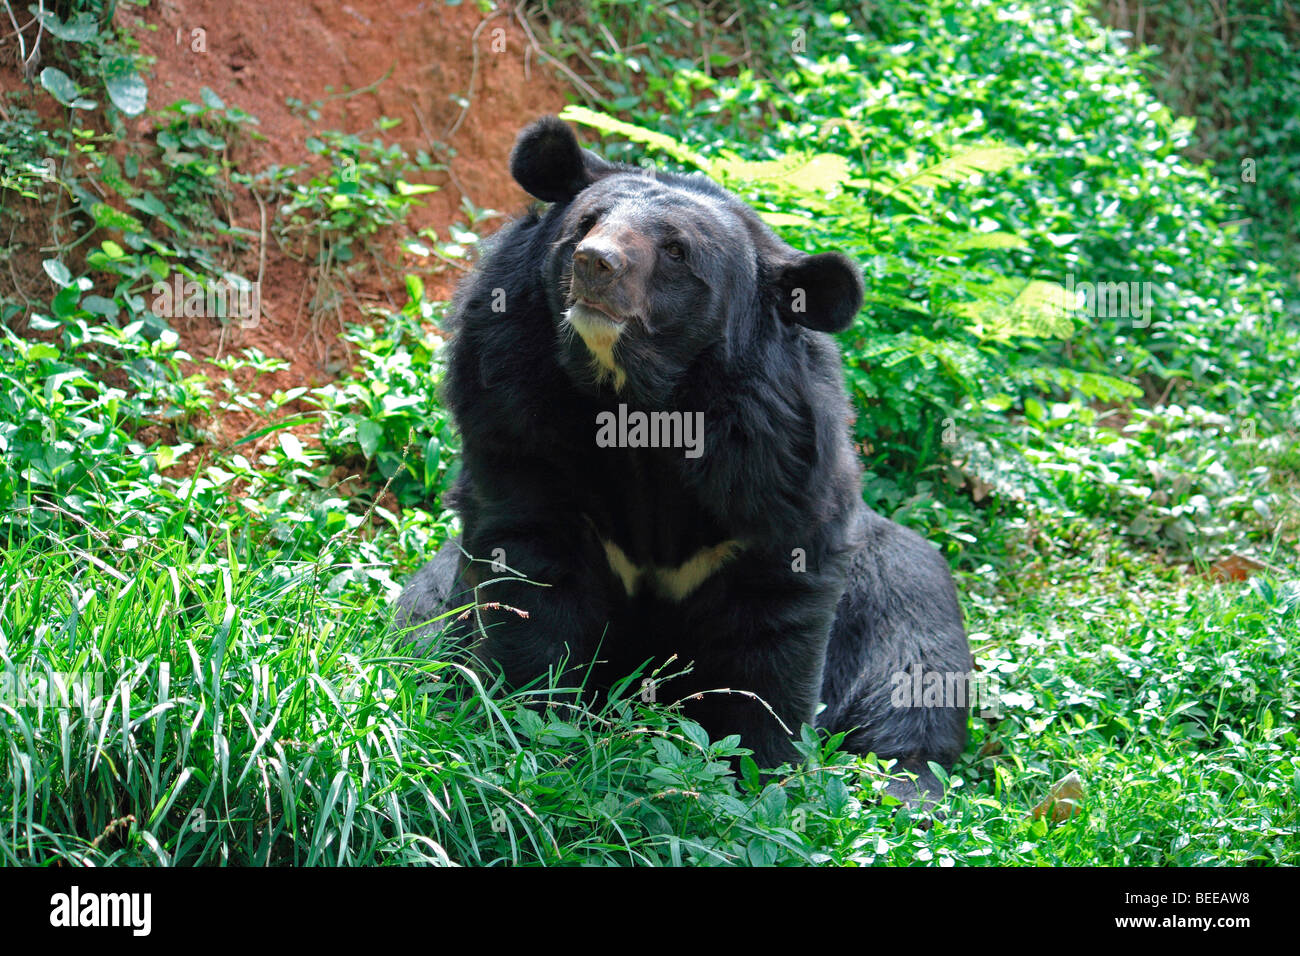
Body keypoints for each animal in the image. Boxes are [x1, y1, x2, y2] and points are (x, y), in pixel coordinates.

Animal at [397, 119, 977, 806]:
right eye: (588, 221)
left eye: (676, 251)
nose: (595, 263)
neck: (638, 408)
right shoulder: (514, 414)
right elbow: (529, 577)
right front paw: (524, 729)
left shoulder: (779, 471)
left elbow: (769, 638)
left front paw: (757, 781)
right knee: (424, 620)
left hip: (900, 586)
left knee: (911, 674)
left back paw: (908, 788)